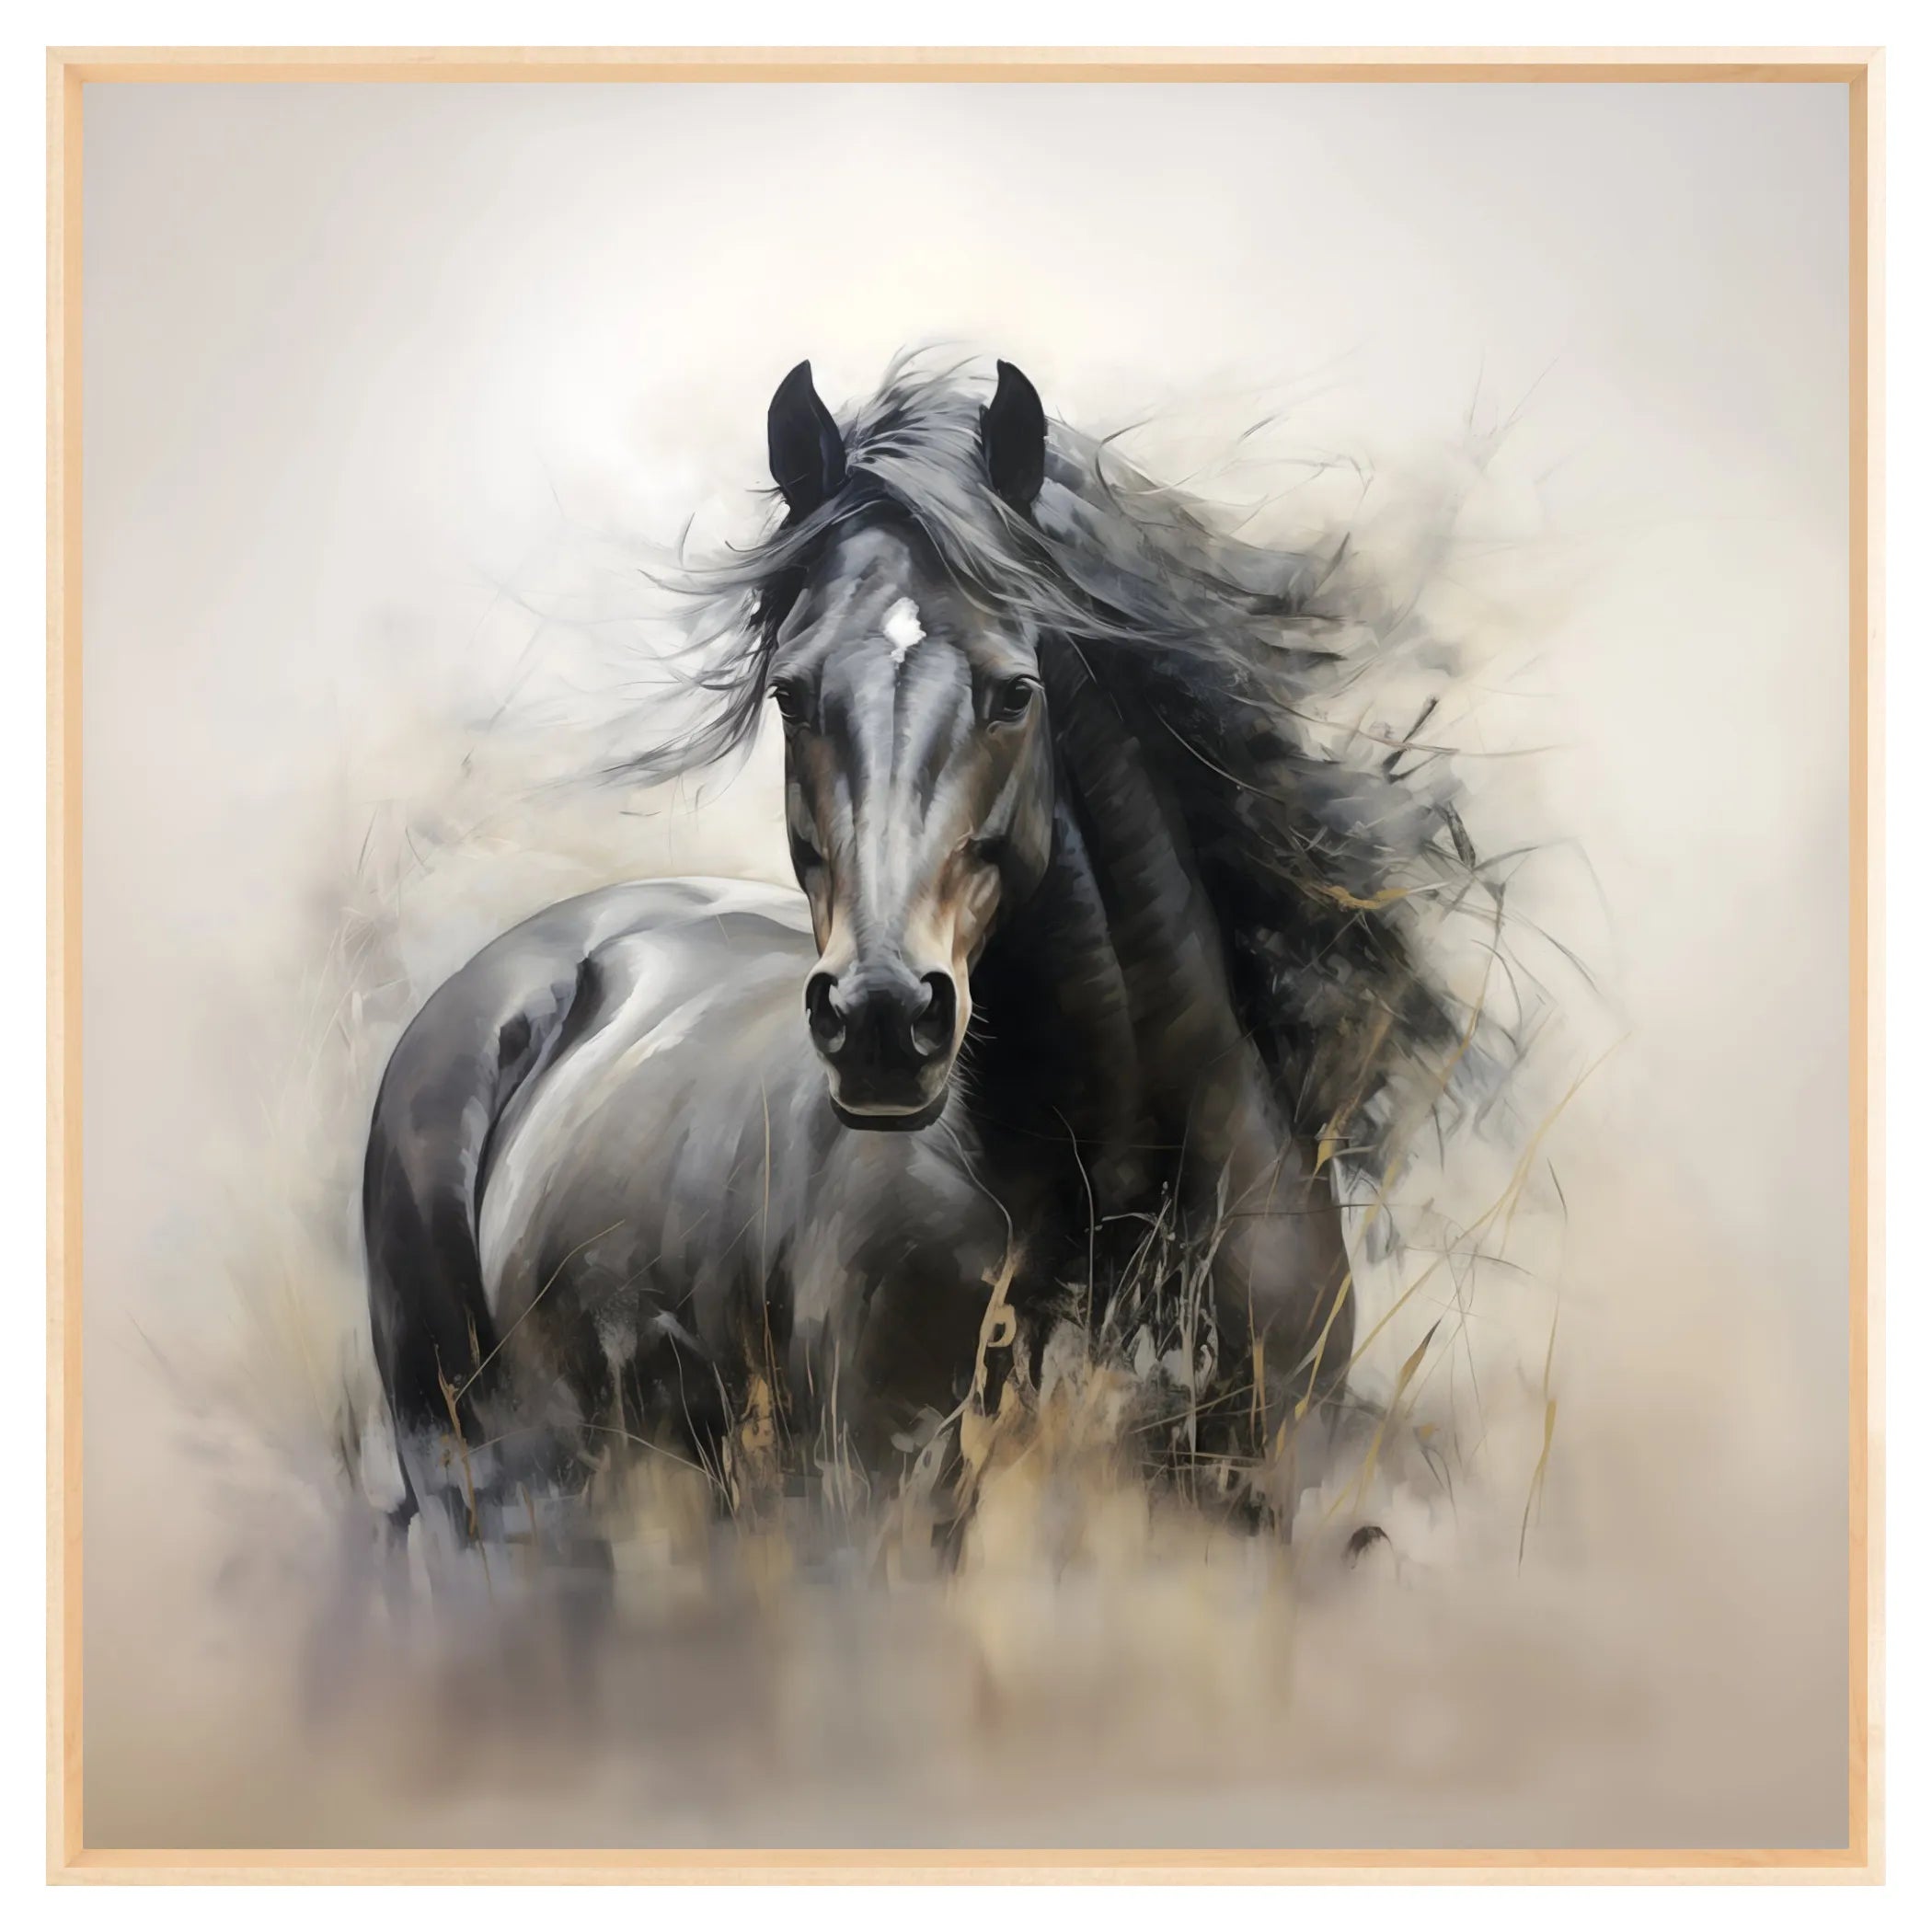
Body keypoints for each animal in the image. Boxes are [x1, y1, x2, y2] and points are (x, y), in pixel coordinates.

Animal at [361, 357, 1478, 1551]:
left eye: (1015, 690)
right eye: (792, 693)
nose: (884, 1022)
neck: (1106, 1191)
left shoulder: (1260, 1501)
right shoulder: (882, 1504)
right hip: (475, 1471)